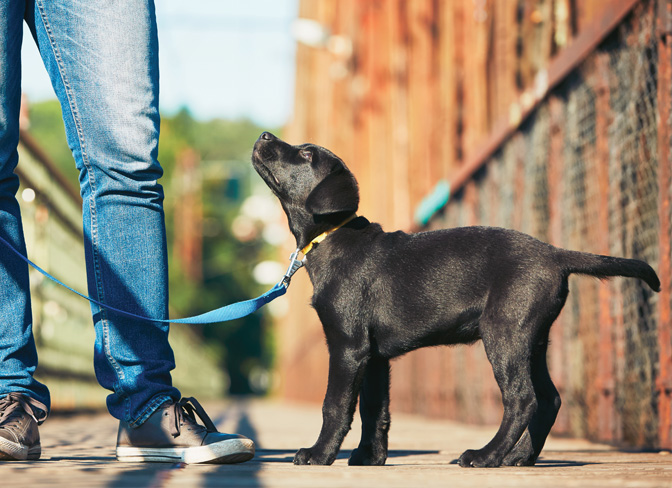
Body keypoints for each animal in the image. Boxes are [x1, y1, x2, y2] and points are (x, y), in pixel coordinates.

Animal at [252, 132, 660, 468]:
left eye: (305, 154)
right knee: (549, 399)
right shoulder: (374, 356)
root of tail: (556, 254)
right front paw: (370, 457)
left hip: (504, 333)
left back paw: (486, 456)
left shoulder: (348, 346)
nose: (264, 134)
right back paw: (519, 457)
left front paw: (319, 454)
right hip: (533, 339)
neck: (332, 237)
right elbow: (374, 410)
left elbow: (335, 406)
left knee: (522, 398)